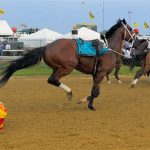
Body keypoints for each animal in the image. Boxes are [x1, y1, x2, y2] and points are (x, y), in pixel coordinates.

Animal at [0, 18, 132, 110]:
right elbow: (95, 92)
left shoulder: (97, 74)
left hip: (57, 67)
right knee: (53, 80)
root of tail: (47, 46)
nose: (133, 38)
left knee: (52, 80)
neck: (109, 49)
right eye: (130, 29)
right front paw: (86, 103)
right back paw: (69, 93)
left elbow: (95, 91)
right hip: (68, 66)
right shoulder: (100, 73)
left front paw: (88, 103)